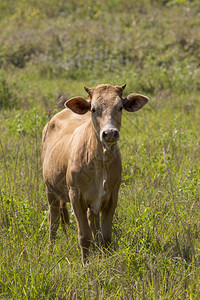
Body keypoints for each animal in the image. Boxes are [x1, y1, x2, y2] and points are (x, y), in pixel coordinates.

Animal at [41, 84, 148, 262]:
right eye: (93, 109)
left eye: (120, 107)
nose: (110, 133)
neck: (99, 161)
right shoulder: (76, 196)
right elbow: (84, 236)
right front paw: (85, 264)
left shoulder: (112, 196)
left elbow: (105, 236)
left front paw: (106, 259)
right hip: (50, 190)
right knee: (53, 219)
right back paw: (50, 249)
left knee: (92, 222)